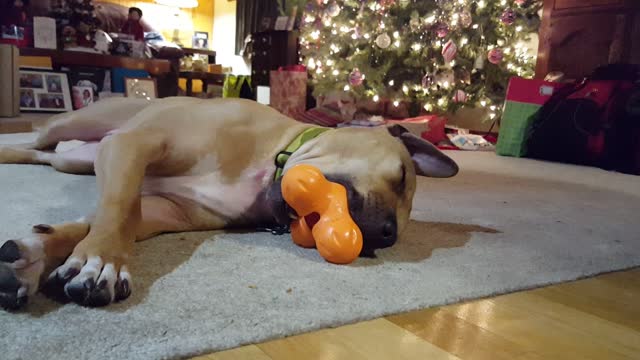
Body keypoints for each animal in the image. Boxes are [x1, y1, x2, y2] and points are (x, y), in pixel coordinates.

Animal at [1, 96, 460, 310]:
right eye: (401, 176)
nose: (386, 235)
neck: (267, 163)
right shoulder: (132, 146)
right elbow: (115, 210)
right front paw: (101, 264)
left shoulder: (159, 208)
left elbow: (109, 219)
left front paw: (33, 256)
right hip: (82, 125)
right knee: (36, 137)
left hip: (75, 158)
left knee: (37, 153)